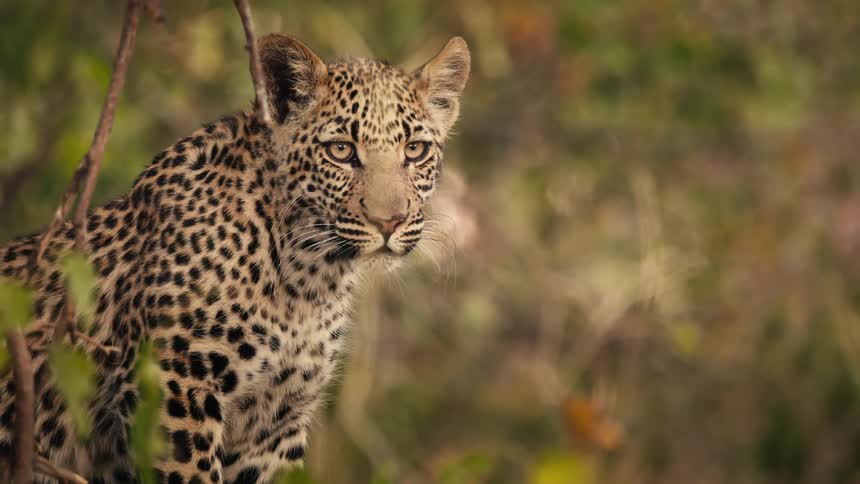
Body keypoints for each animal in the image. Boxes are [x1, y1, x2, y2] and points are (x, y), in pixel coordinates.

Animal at [0, 33, 470, 483]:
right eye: (340, 150)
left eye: (415, 150)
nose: (389, 221)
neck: (308, 280)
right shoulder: (171, 387)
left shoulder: (273, 428)